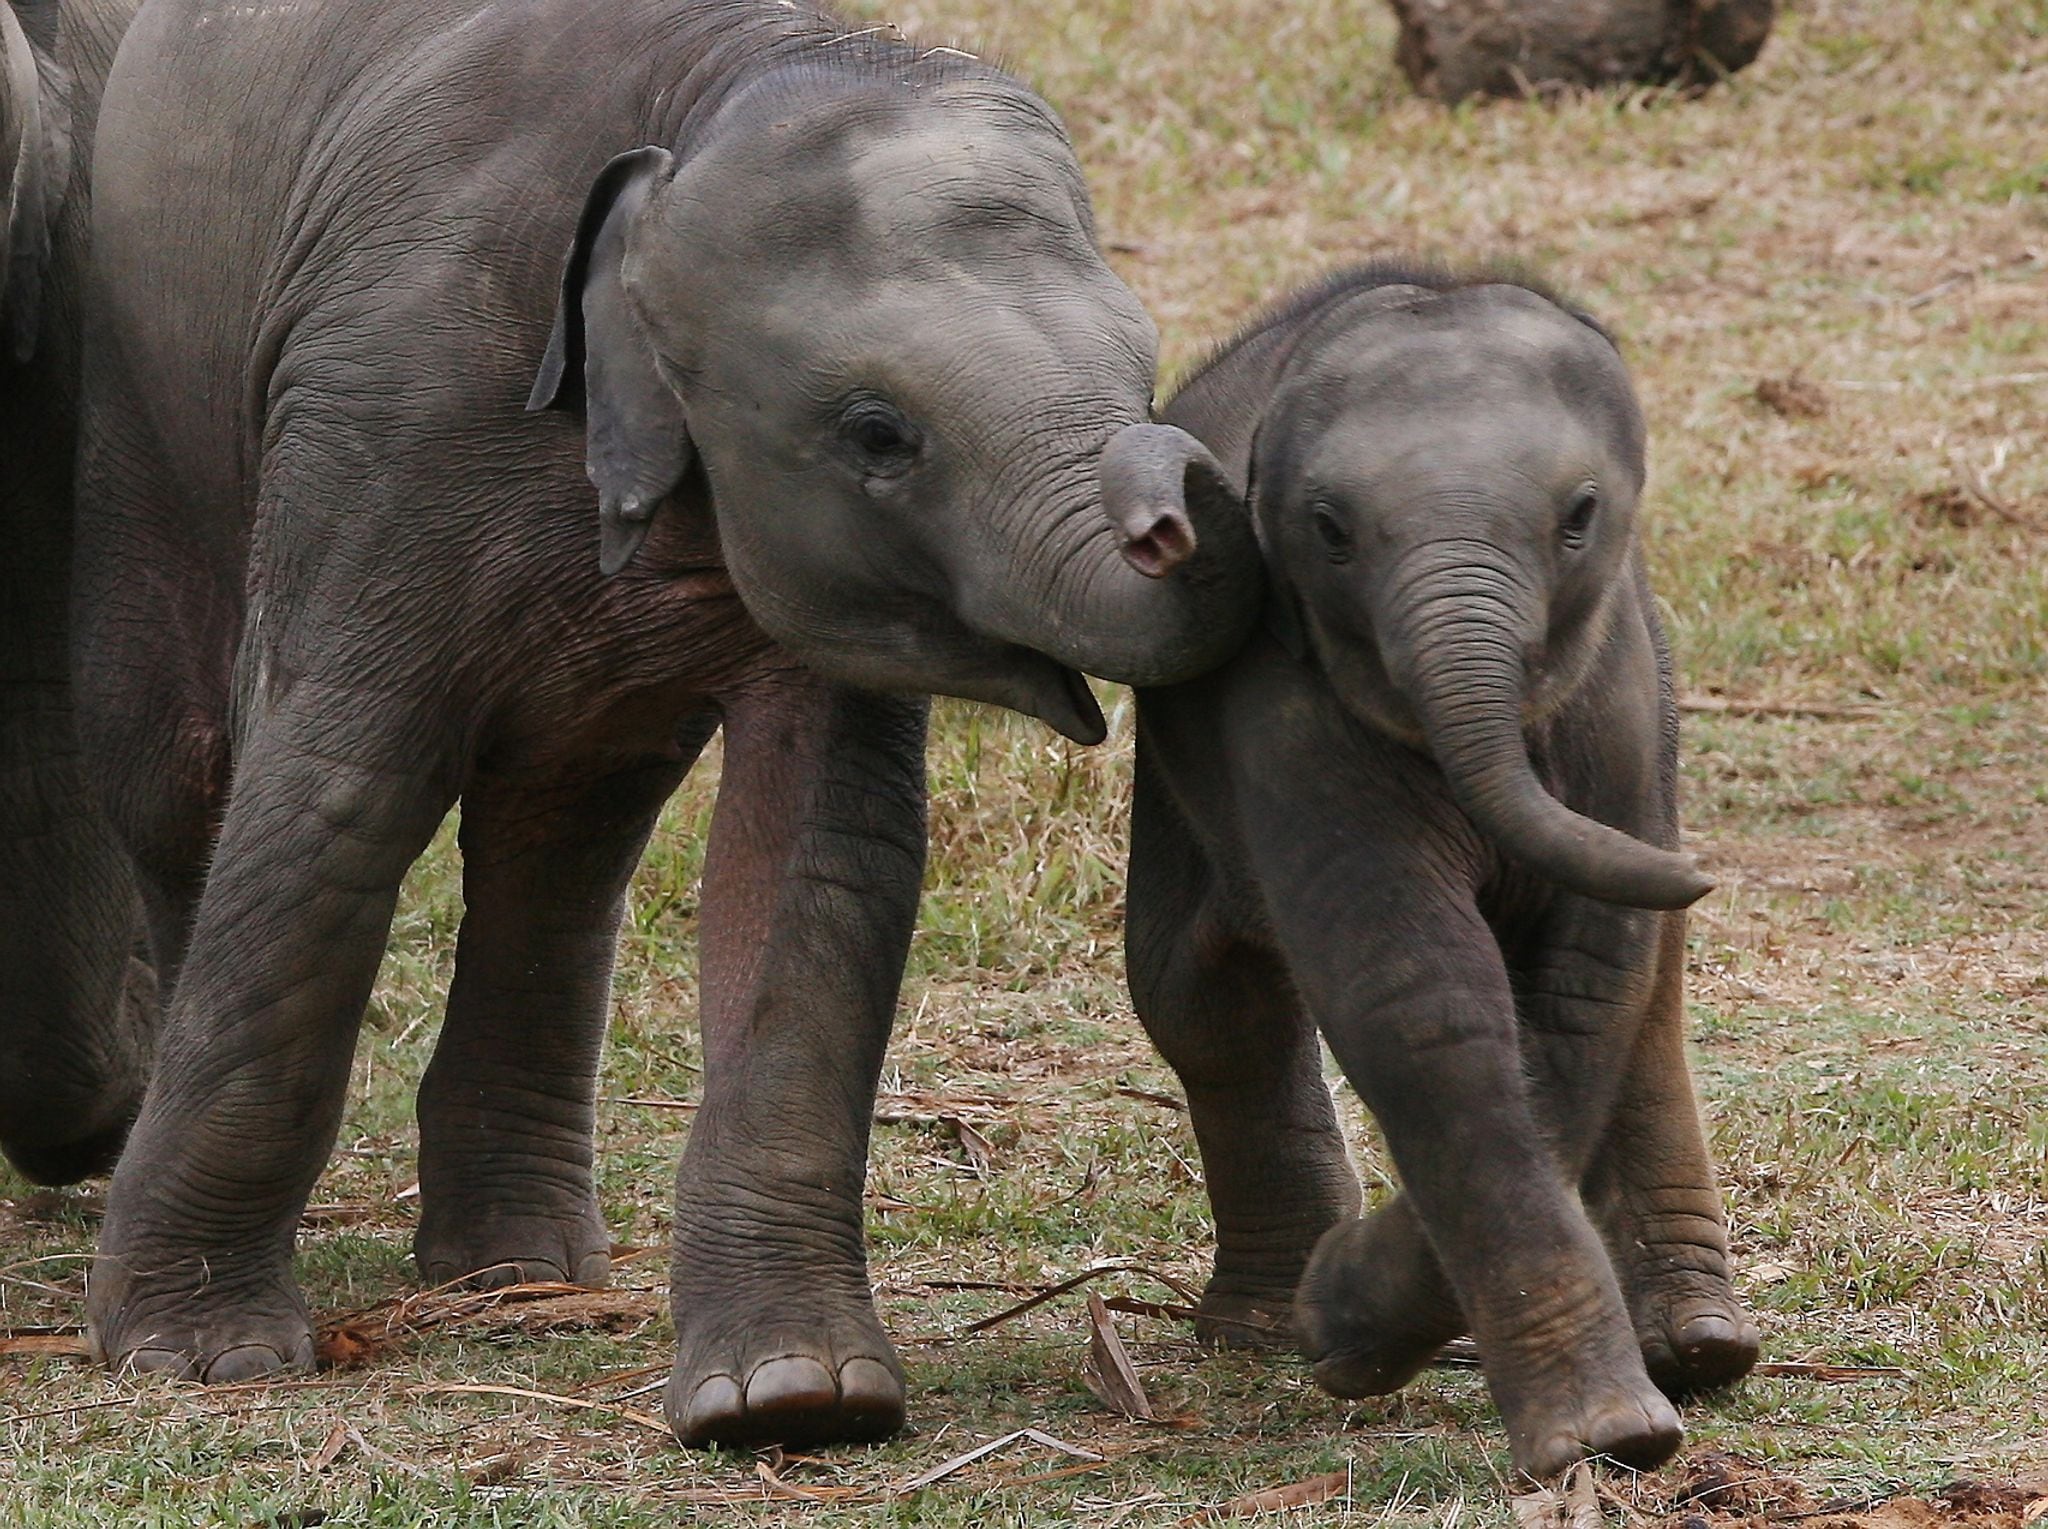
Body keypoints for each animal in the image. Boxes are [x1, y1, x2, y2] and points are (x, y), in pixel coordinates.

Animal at [1122, 266, 1761, 1481]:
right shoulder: (1281, 691)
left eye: (1577, 516)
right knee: (1201, 994)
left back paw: (1702, 1350)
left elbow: (1580, 987)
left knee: (1647, 997)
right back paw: (1263, 1326)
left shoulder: (1616, 703)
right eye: (1328, 530)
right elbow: (1418, 991)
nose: (1698, 870)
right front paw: (1598, 1434)